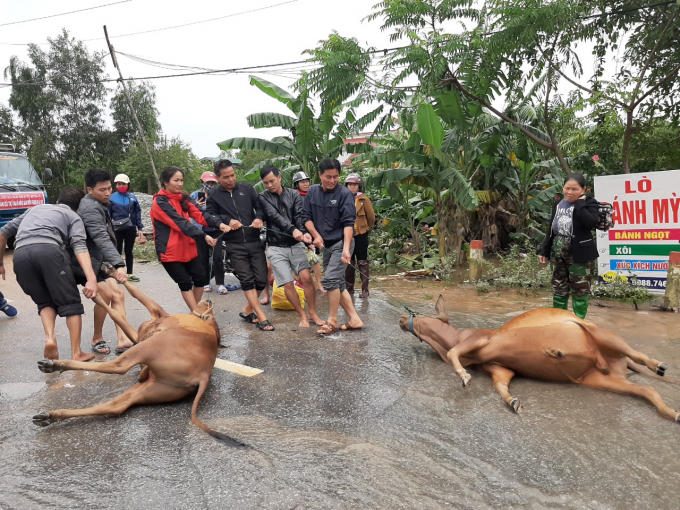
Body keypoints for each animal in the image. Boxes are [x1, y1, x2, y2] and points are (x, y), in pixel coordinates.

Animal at [32, 274, 244, 446]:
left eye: (210, 315)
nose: (209, 302)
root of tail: (203, 376)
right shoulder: (139, 333)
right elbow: (124, 309)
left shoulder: (154, 313)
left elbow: (128, 301)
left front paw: (97, 293)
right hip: (151, 387)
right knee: (115, 406)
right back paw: (51, 416)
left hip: (149, 347)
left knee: (118, 366)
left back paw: (54, 365)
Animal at [402, 294, 676, 422]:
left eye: (424, 313)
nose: (402, 318)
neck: (454, 336)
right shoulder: (499, 367)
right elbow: (501, 386)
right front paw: (513, 401)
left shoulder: (479, 339)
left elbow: (453, 354)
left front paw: (463, 376)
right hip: (600, 379)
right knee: (647, 390)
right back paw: (672, 412)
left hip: (603, 334)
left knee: (635, 353)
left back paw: (659, 365)